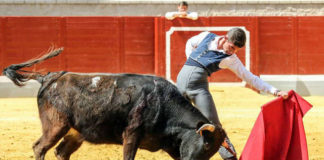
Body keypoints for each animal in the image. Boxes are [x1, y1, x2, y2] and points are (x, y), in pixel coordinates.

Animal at [2, 47, 227, 160]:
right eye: (206, 144)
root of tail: (50, 77)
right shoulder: (132, 134)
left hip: (76, 132)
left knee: (61, 152)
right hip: (56, 125)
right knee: (40, 147)